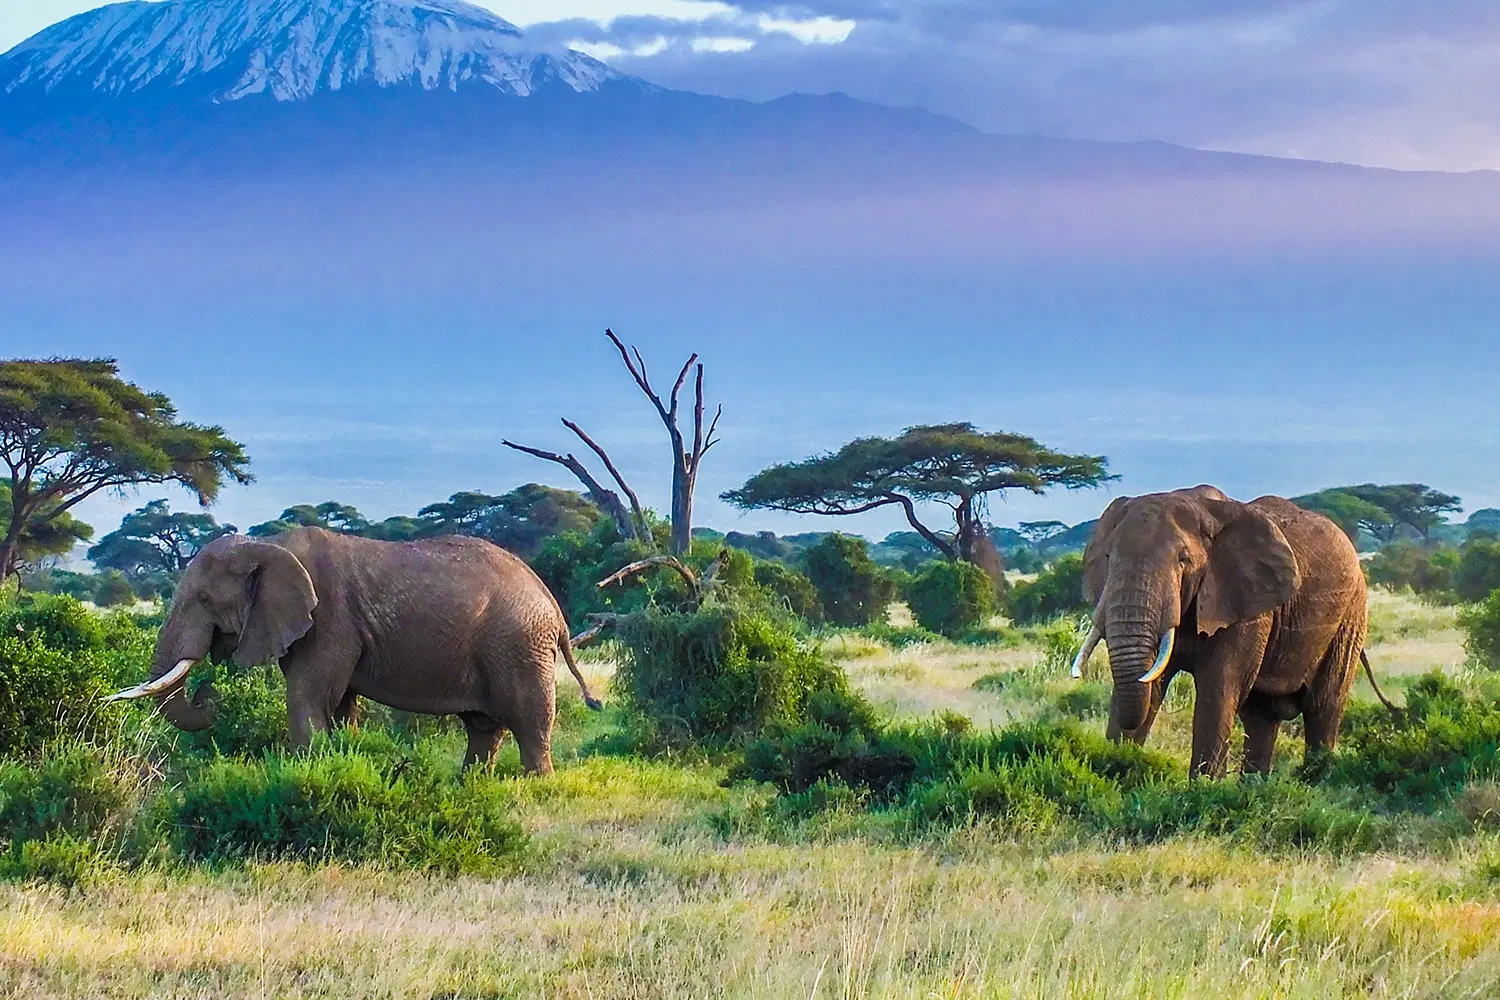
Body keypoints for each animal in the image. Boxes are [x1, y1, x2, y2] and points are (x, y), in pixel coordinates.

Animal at [104, 528, 600, 774]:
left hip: (518, 644)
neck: (270, 546)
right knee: (483, 727)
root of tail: (553, 604)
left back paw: (535, 785)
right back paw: (471, 785)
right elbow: (339, 704)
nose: (209, 692)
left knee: (529, 723)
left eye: (205, 599)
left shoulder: (329, 619)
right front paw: (343, 758)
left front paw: (307, 773)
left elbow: (308, 698)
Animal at [1071, 485, 1378, 778]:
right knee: (1261, 717)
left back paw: (1314, 780)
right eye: (1108, 556)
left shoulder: (1245, 605)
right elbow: (1152, 684)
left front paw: (1203, 788)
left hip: (1351, 616)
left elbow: (1218, 688)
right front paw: (1116, 773)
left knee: (1322, 707)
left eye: (1183, 559)